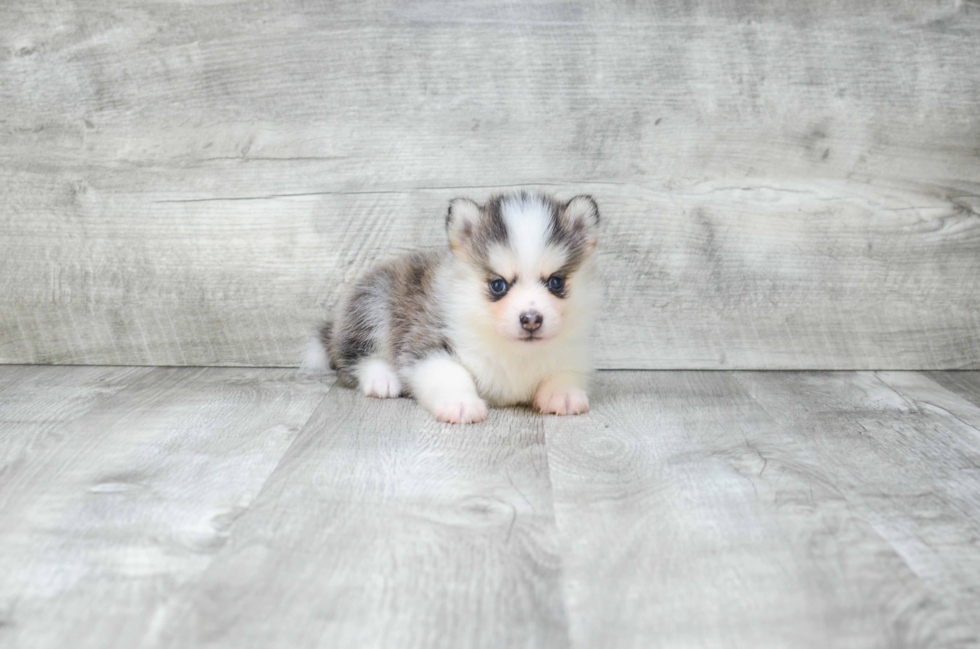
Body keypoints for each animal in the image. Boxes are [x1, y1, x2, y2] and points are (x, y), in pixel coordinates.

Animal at [302, 191, 600, 426]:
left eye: (555, 282)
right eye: (498, 285)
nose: (531, 319)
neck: (516, 353)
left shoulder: (572, 352)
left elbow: (565, 372)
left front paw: (564, 394)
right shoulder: (428, 343)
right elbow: (450, 374)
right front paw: (460, 403)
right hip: (373, 300)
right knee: (355, 355)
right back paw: (382, 378)